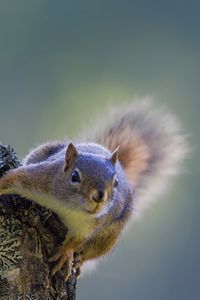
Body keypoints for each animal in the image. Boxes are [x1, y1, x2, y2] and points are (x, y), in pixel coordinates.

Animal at [0, 101, 188, 282]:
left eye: (116, 182)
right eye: (75, 176)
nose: (99, 196)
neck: (70, 208)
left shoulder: (91, 224)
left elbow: (77, 241)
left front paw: (66, 253)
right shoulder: (41, 179)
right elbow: (15, 177)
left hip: (109, 237)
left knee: (92, 251)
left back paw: (79, 260)